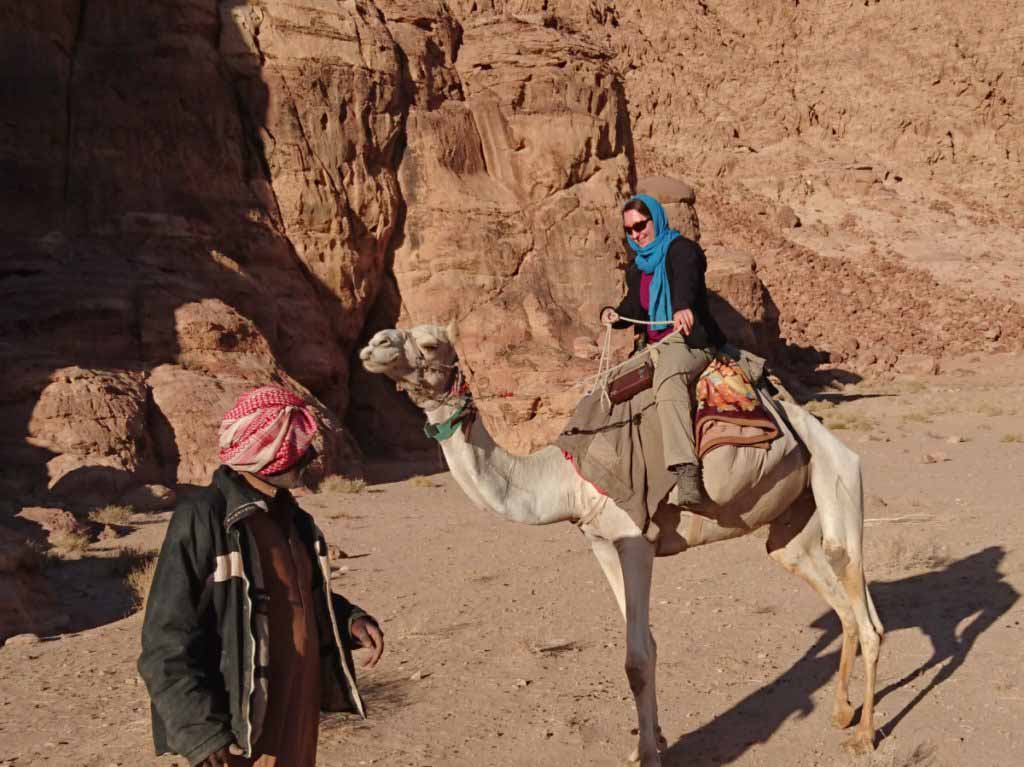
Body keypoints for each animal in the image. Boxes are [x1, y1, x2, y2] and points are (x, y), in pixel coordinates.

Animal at [358, 319, 880, 761]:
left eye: (430, 344)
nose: (373, 345)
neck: (567, 478)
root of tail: (819, 429)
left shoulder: (634, 540)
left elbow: (636, 659)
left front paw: (648, 754)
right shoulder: (601, 543)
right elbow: (646, 644)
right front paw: (651, 741)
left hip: (837, 475)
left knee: (865, 611)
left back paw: (863, 736)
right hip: (792, 526)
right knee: (834, 600)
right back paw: (841, 712)